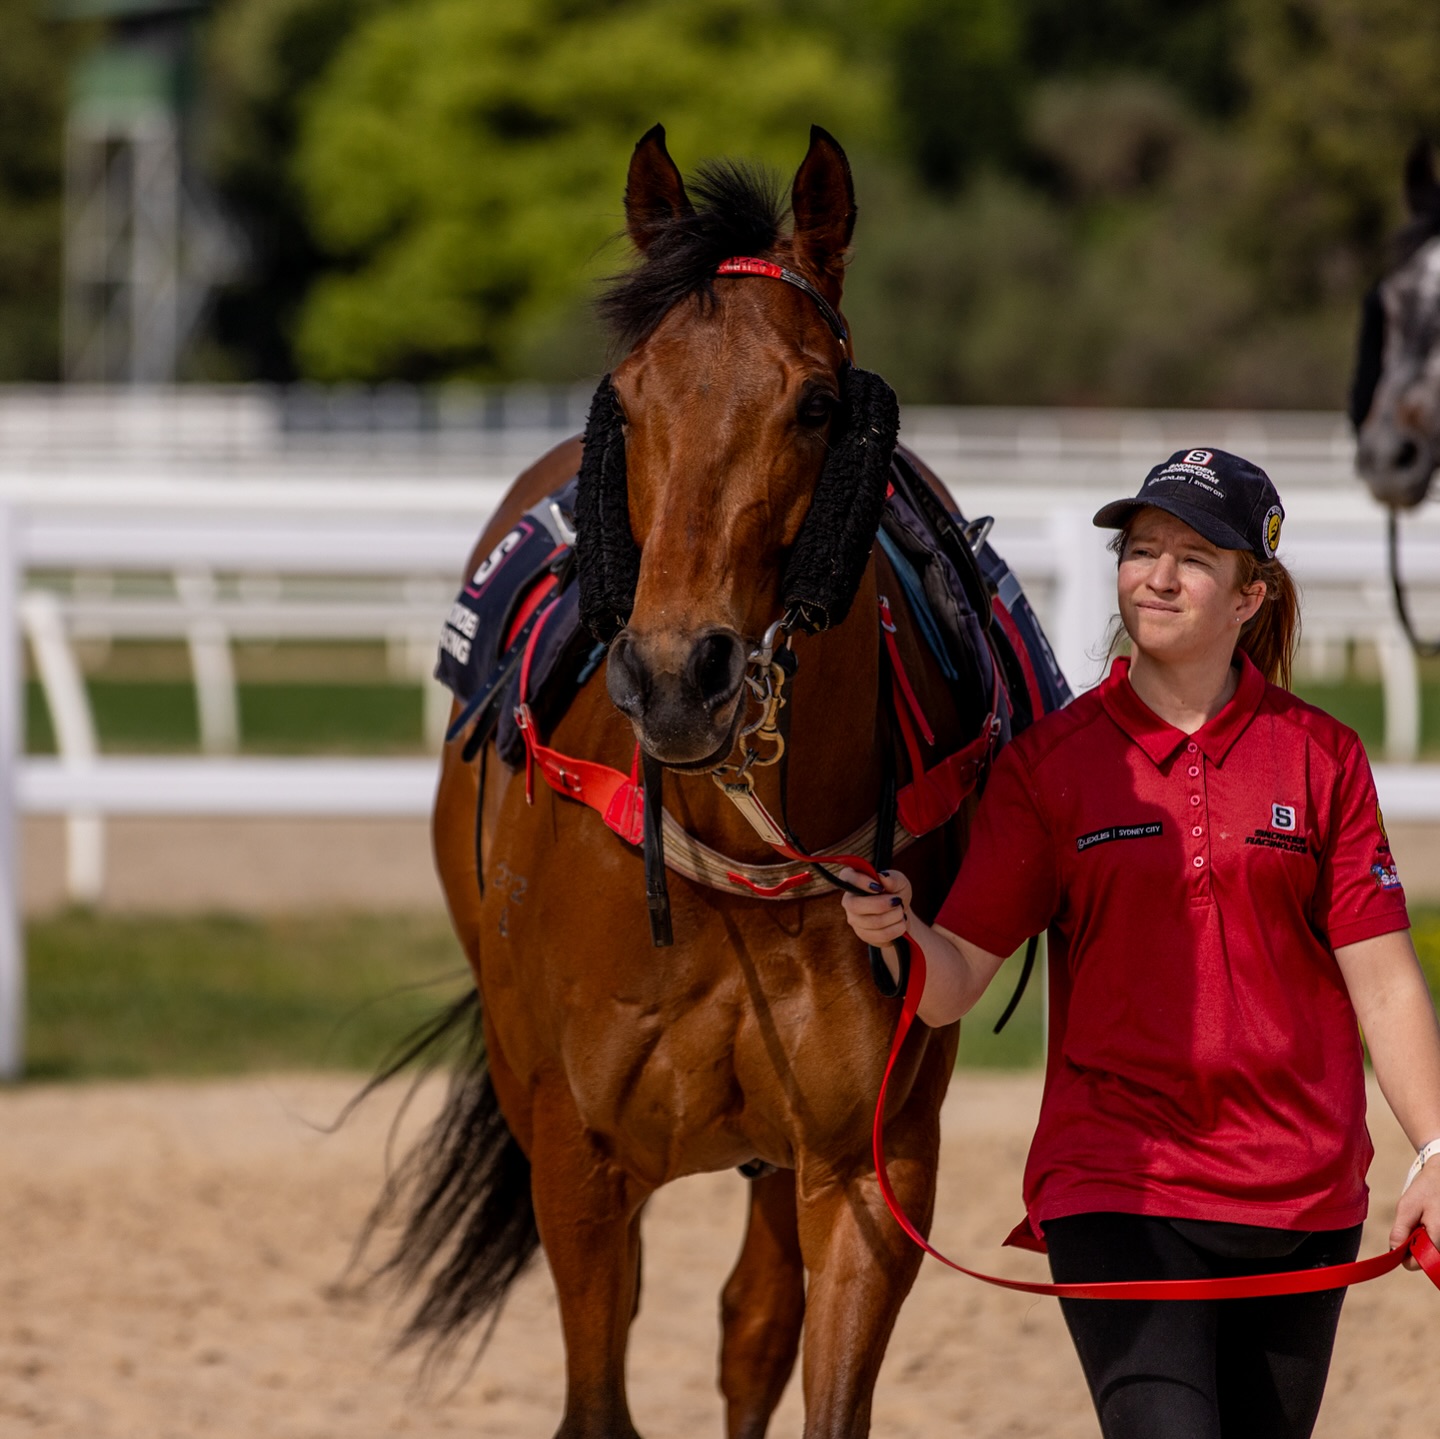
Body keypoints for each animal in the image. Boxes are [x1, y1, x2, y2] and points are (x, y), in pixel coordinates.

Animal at [371, 126, 984, 1439]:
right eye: (636, 394)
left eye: (816, 402)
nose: (674, 675)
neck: (735, 861)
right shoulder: (579, 1159)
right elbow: (597, 1397)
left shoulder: (870, 1167)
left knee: (753, 1322)